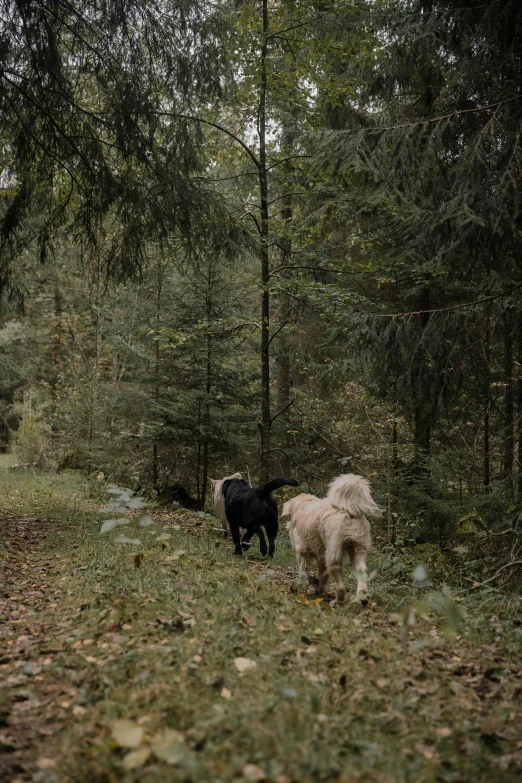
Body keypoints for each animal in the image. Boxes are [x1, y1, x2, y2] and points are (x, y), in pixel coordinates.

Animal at [284, 472, 378, 608]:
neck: (303, 506)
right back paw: (363, 597)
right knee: (362, 571)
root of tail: (349, 512)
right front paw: (317, 588)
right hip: (358, 549)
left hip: (333, 554)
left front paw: (301, 586)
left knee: (341, 586)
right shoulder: (321, 556)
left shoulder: (301, 550)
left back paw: (337, 600)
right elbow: (321, 576)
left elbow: (304, 572)